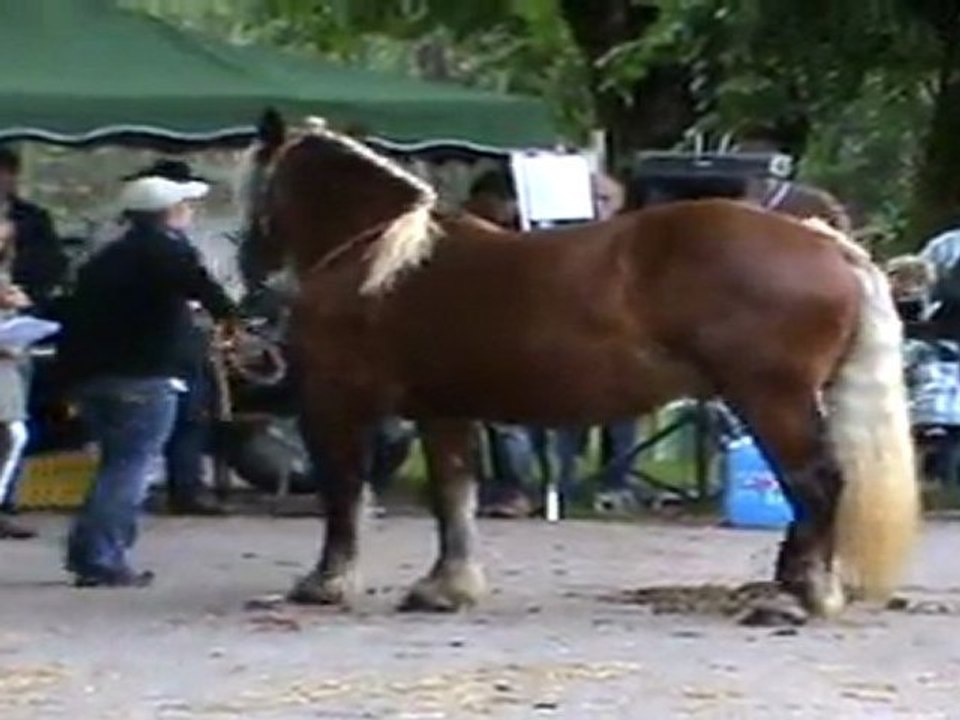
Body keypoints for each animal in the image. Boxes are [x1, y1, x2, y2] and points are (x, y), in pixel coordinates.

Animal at [237, 110, 918, 624]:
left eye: (255, 184)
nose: (248, 270)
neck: (381, 256)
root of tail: (825, 241)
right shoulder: (443, 409)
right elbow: (453, 496)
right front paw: (447, 588)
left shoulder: (337, 403)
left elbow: (344, 492)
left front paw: (325, 583)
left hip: (772, 398)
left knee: (816, 481)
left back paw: (801, 597)